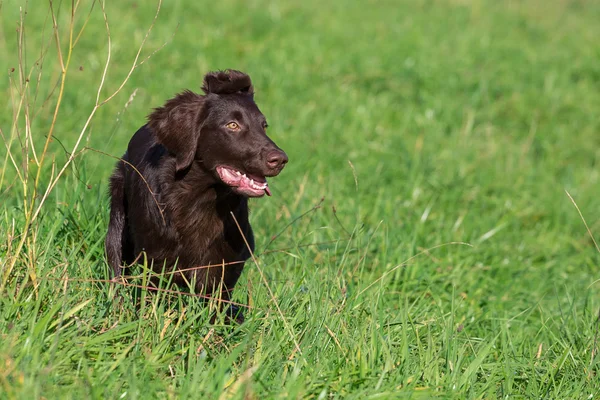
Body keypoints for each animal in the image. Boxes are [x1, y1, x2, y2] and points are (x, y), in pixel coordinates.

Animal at [104, 69, 288, 322]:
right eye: (232, 125)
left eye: (264, 126)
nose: (280, 159)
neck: (201, 199)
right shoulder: (153, 260)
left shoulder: (227, 265)